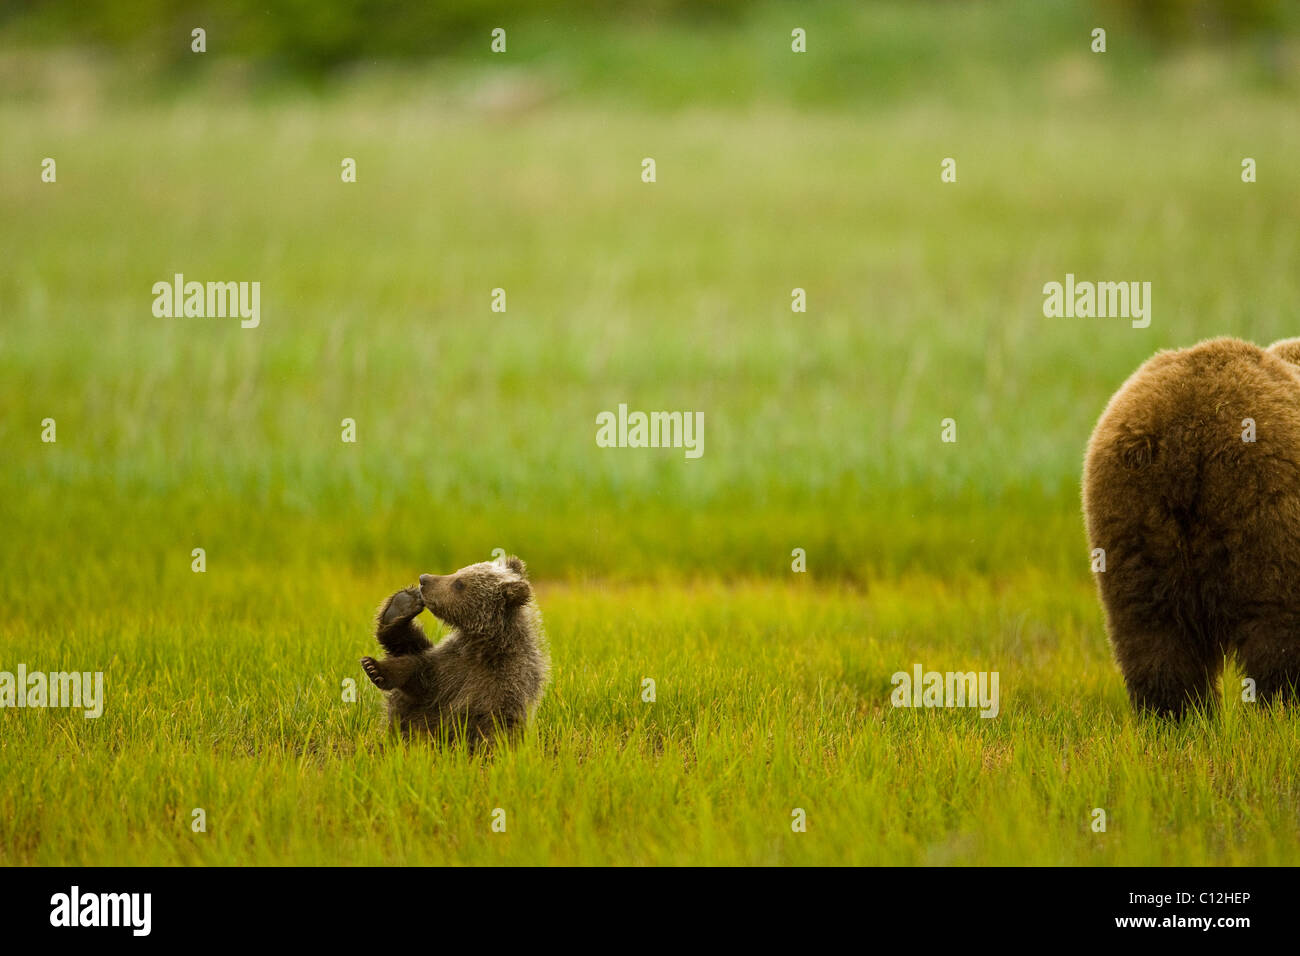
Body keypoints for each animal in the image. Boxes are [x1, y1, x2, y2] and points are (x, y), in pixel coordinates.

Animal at [360, 556, 550, 747]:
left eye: (459, 583)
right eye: (458, 572)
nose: (424, 579)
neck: (485, 648)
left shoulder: (504, 685)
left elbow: (494, 728)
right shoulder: (451, 662)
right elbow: (418, 673)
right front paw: (374, 668)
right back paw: (400, 605)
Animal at [1083, 336, 1300, 716]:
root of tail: (1186, 436)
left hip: (1129, 518)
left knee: (1152, 635)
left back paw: (1179, 715)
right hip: (1265, 506)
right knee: (1276, 626)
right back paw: (1280, 708)